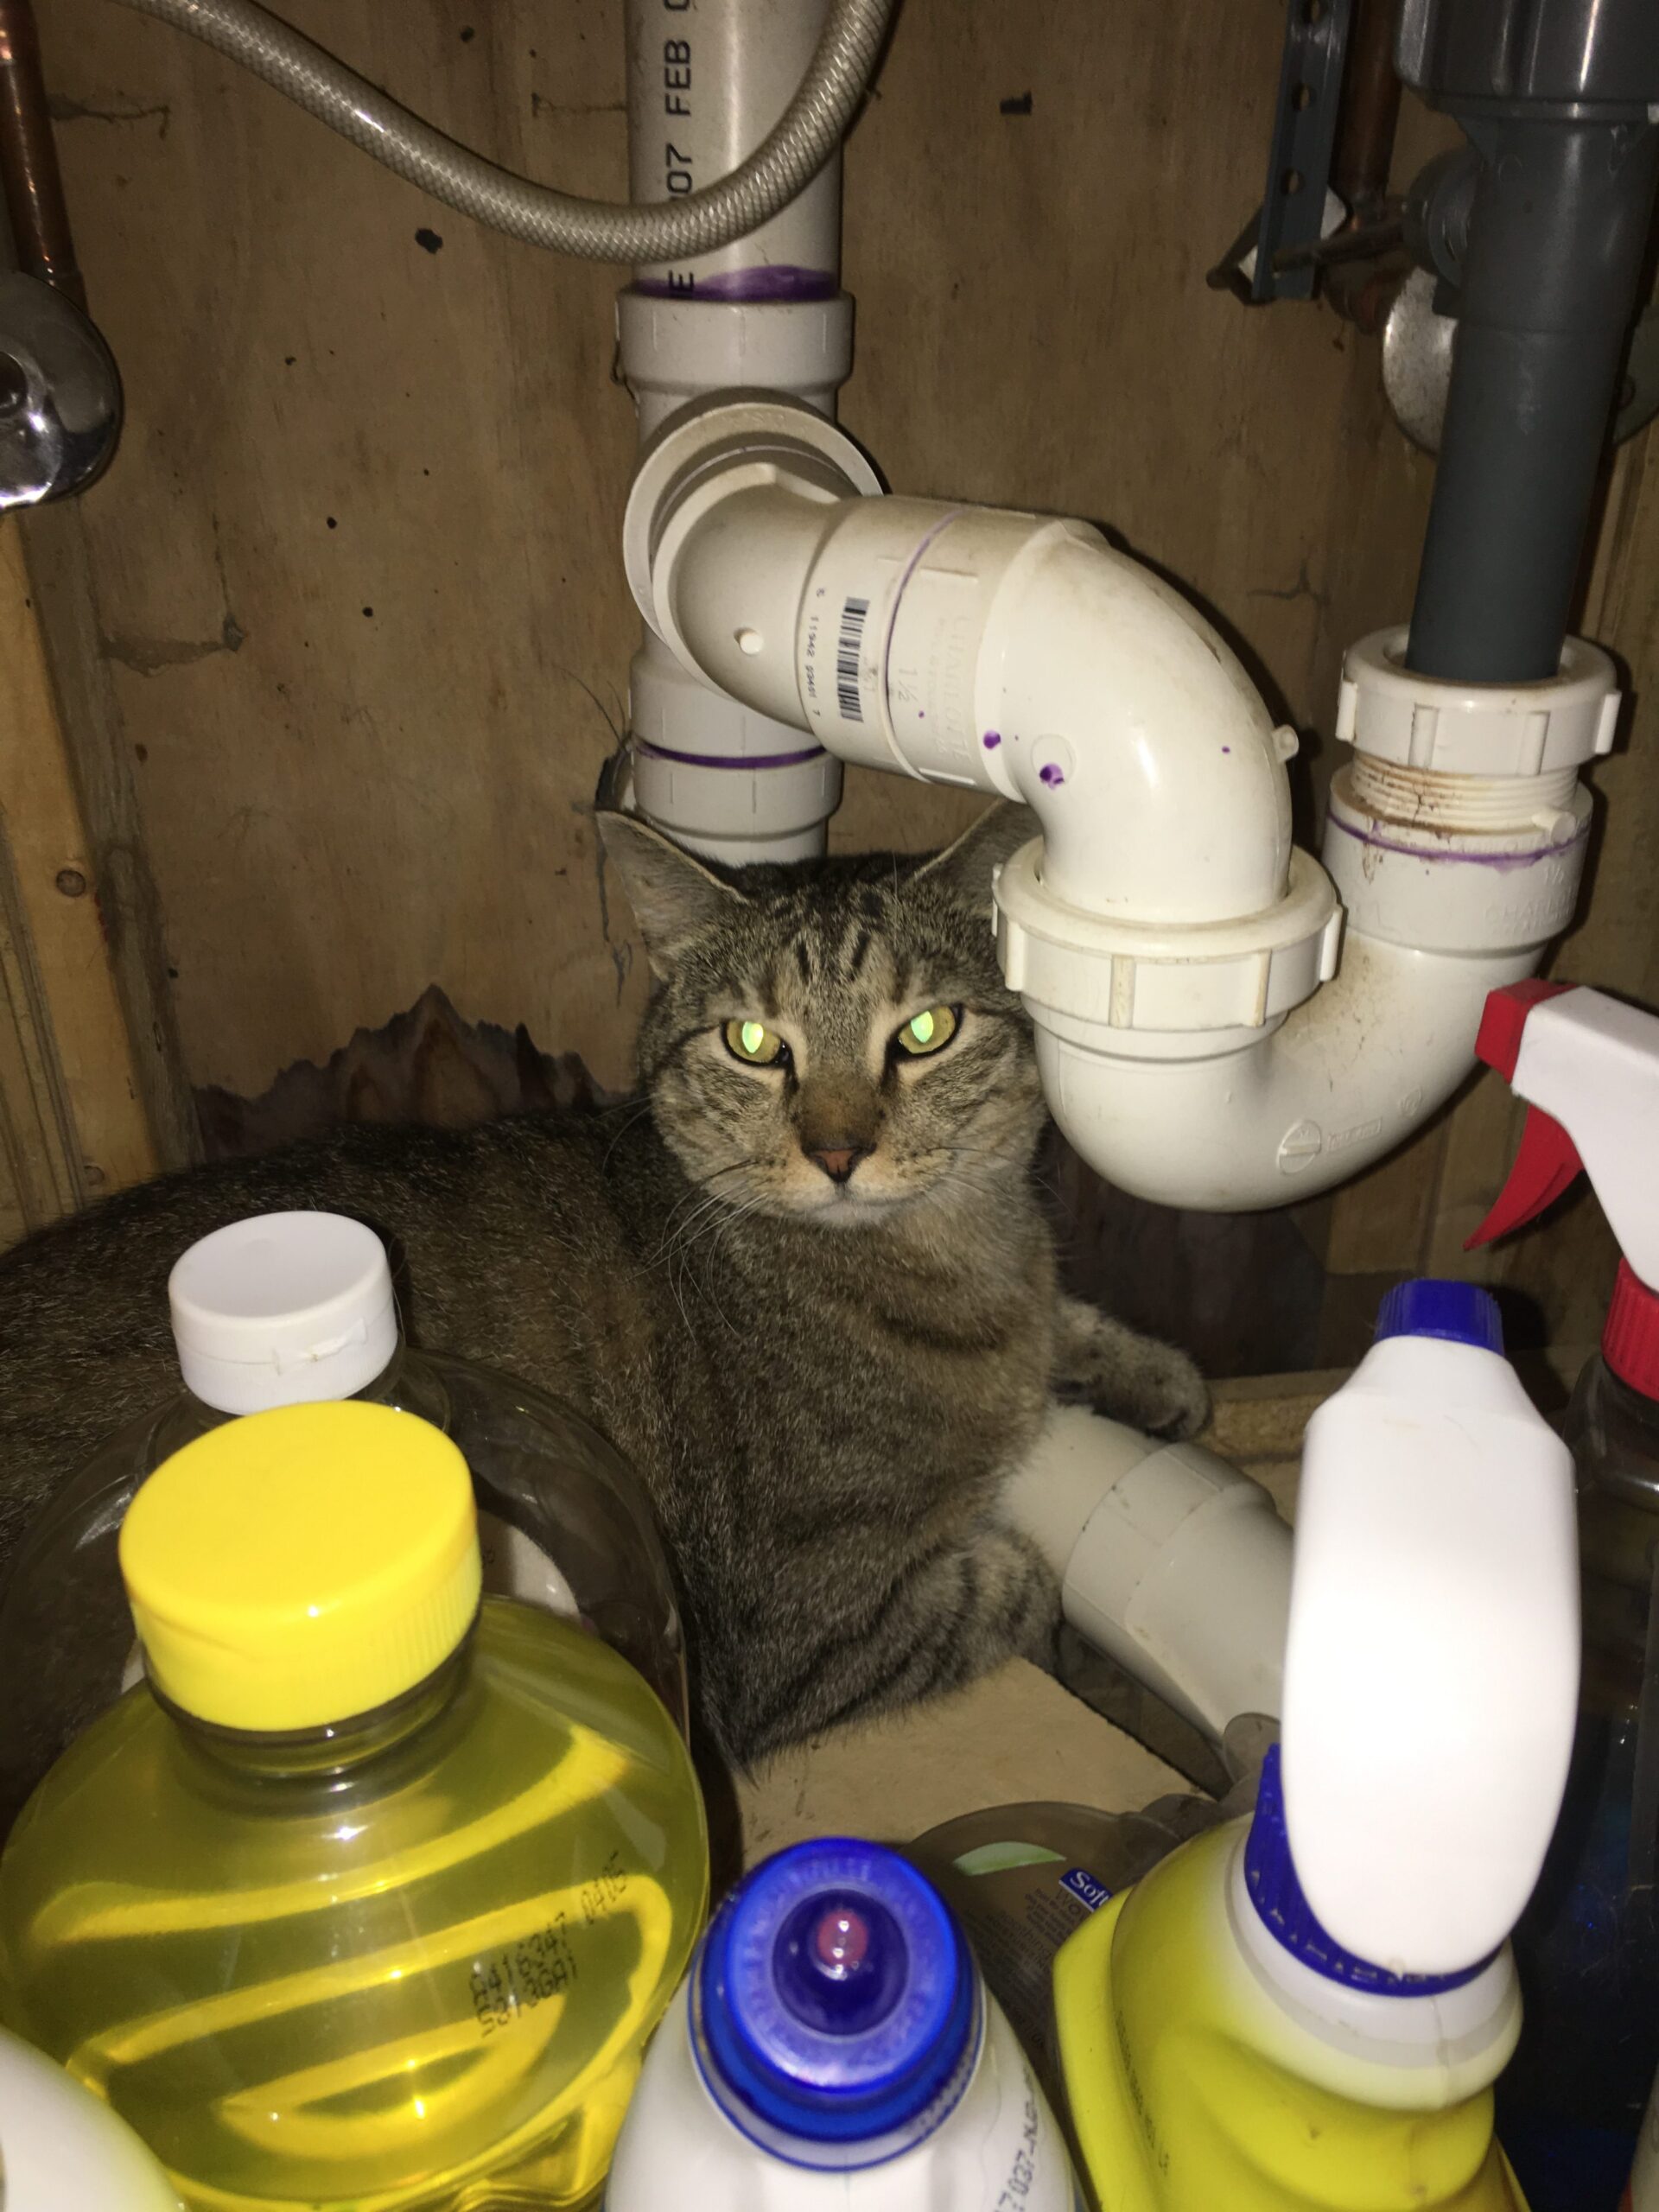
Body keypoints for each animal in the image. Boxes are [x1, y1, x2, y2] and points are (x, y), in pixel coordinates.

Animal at [0, 804, 1206, 1766]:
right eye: (753, 1042)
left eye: (925, 1029)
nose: (838, 1151)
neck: (945, 1255)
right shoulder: (801, 1639)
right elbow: (1017, 1583)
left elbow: (1069, 1327)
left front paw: (1151, 1374)